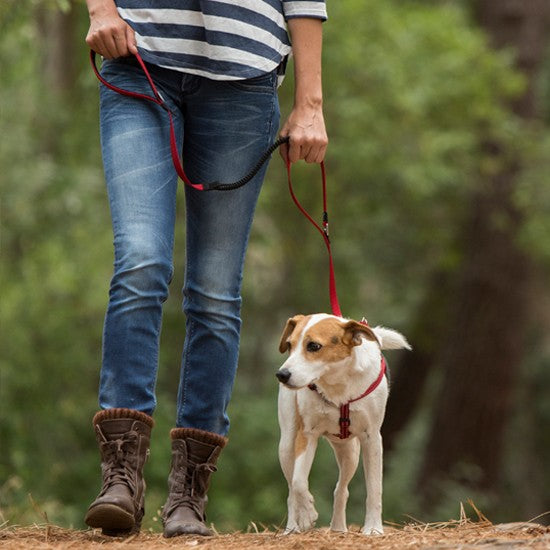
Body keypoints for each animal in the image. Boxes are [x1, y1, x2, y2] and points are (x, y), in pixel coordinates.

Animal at [276, 314, 410, 536]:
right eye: (289, 345)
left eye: (313, 346)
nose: (282, 374)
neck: (336, 383)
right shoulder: (307, 434)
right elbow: (298, 482)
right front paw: (307, 514)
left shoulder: (372, 438)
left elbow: (374, 488)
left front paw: (373, 529)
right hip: (287, 443)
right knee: (290, 488)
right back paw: (293, 527)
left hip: (350, 453)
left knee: (341, 489)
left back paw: (338, 528)